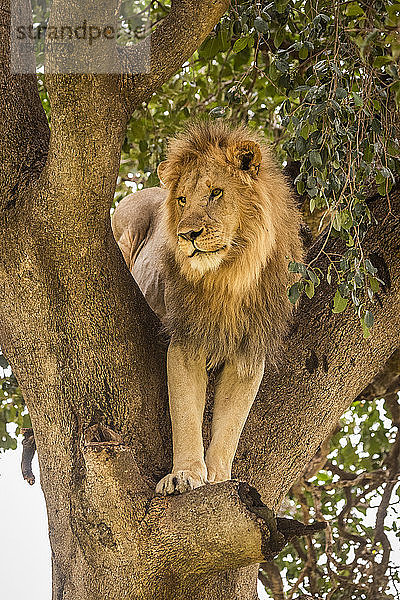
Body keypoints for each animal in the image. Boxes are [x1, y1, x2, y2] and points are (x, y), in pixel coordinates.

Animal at [112, 119, 304, 494]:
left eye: (215, 193)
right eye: (183, 200)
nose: (188, 235)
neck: (229, 276)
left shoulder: (249, 351)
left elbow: (230, 425)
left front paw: (219, 478)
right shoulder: (187, 340)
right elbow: (185, 414)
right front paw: (184, 475)